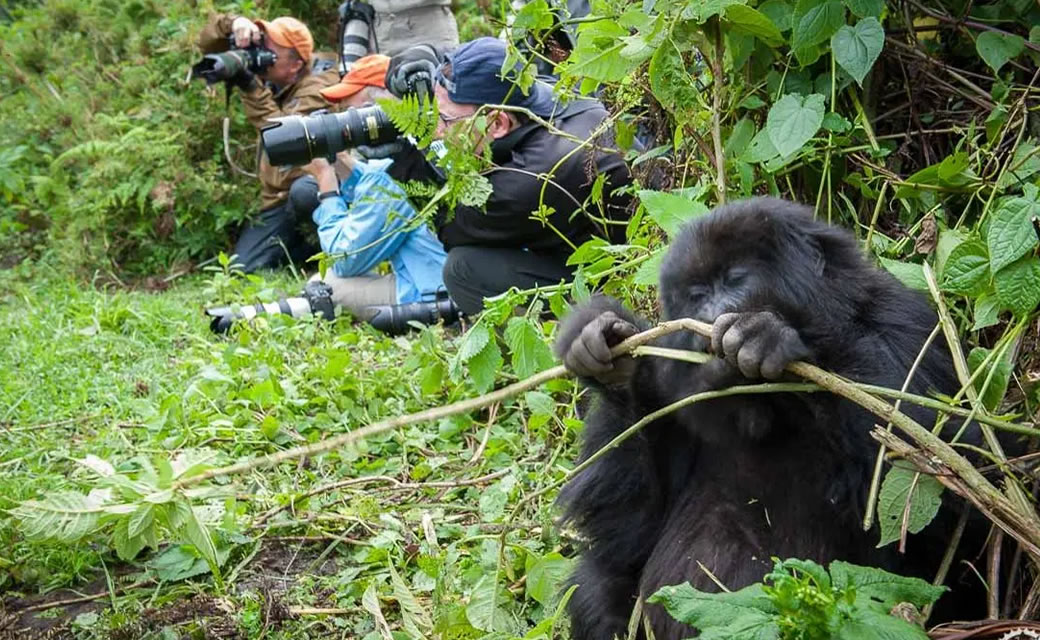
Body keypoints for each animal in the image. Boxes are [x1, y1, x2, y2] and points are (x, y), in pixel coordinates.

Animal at [553, 198, 990, 640]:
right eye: (697, 295)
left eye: (734, 279)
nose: (710, 313)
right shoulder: (672, 393)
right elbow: (629, 531)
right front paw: (612, 360)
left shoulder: (910, 324)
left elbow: (947, 494)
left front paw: (769, 337)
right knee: (594, 583)